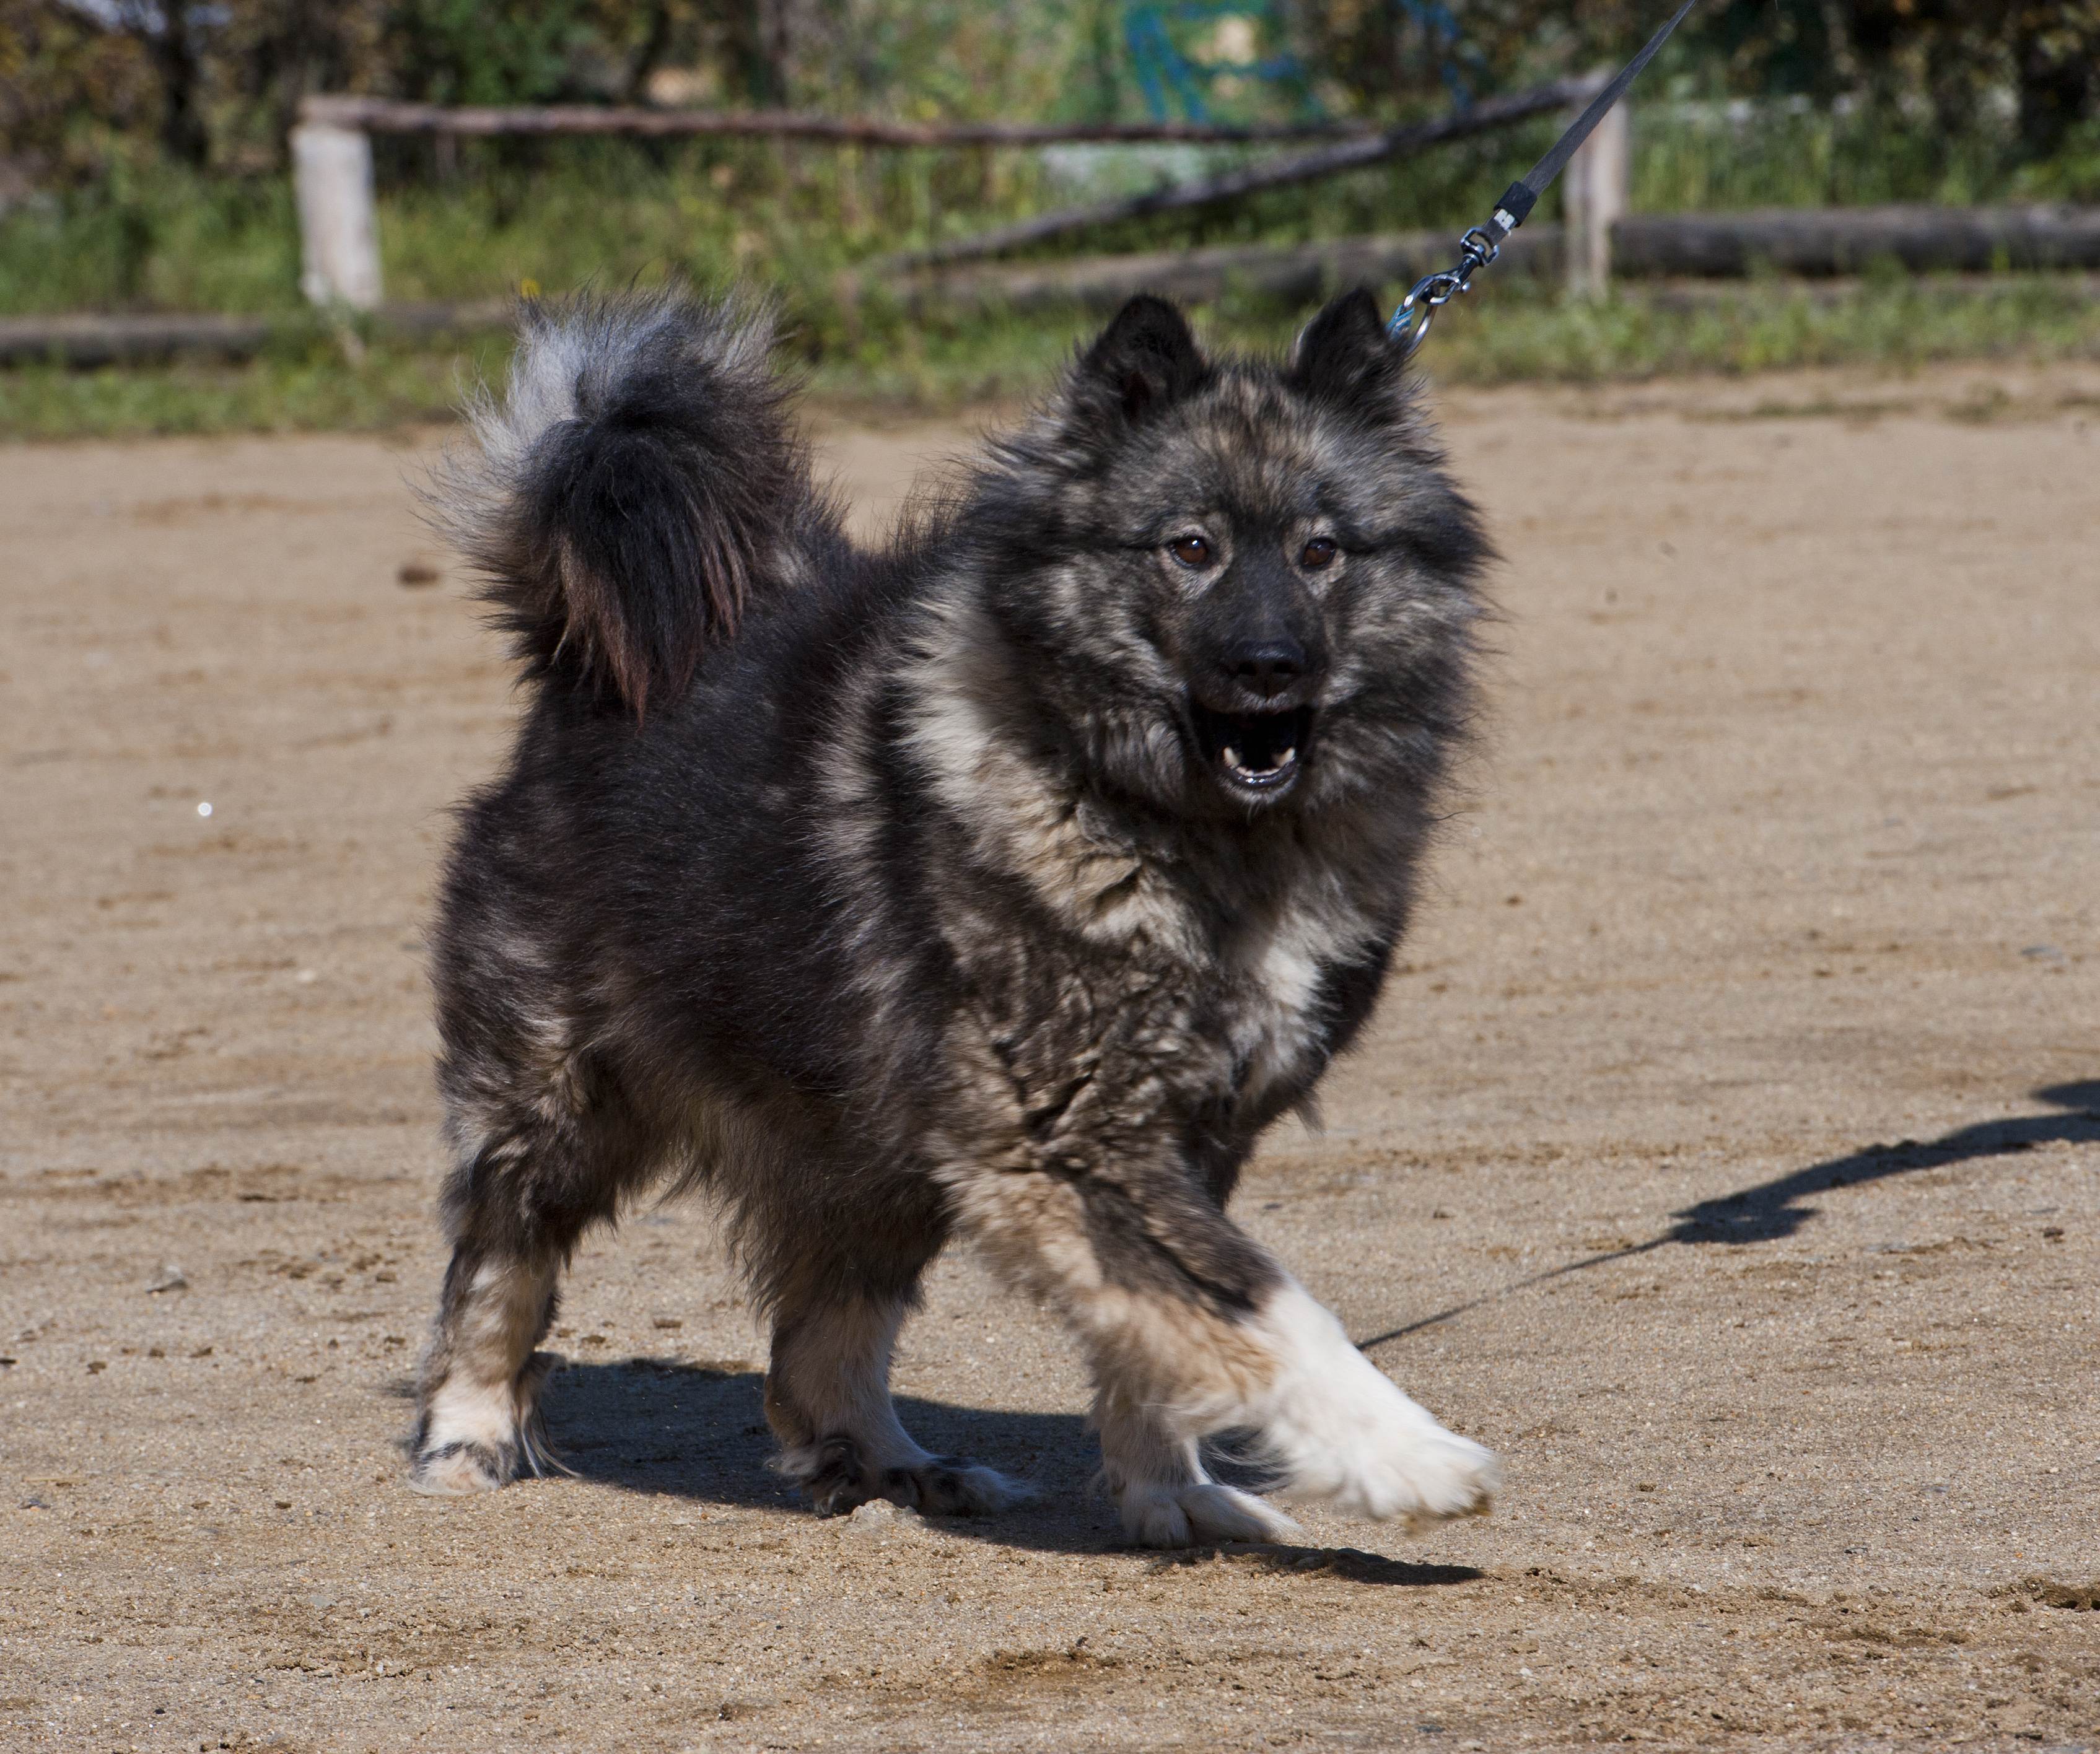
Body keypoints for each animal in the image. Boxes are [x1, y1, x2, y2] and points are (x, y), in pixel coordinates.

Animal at [405, 287, 1495, 1554]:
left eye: (1323, 552)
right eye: (1190, 548)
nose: (1269, 663)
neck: (1189, 831)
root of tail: (584, 674)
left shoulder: (1175, 1140)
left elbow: (1160, 1335)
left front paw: (1169, 1491)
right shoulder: (1074, 1137)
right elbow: (1265, 1306)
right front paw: (1409, 1456)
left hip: (872, 1140)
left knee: (817, 1341)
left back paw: (893, 1467)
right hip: (567, 1099)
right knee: (499, 1265)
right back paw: (467, 1437)